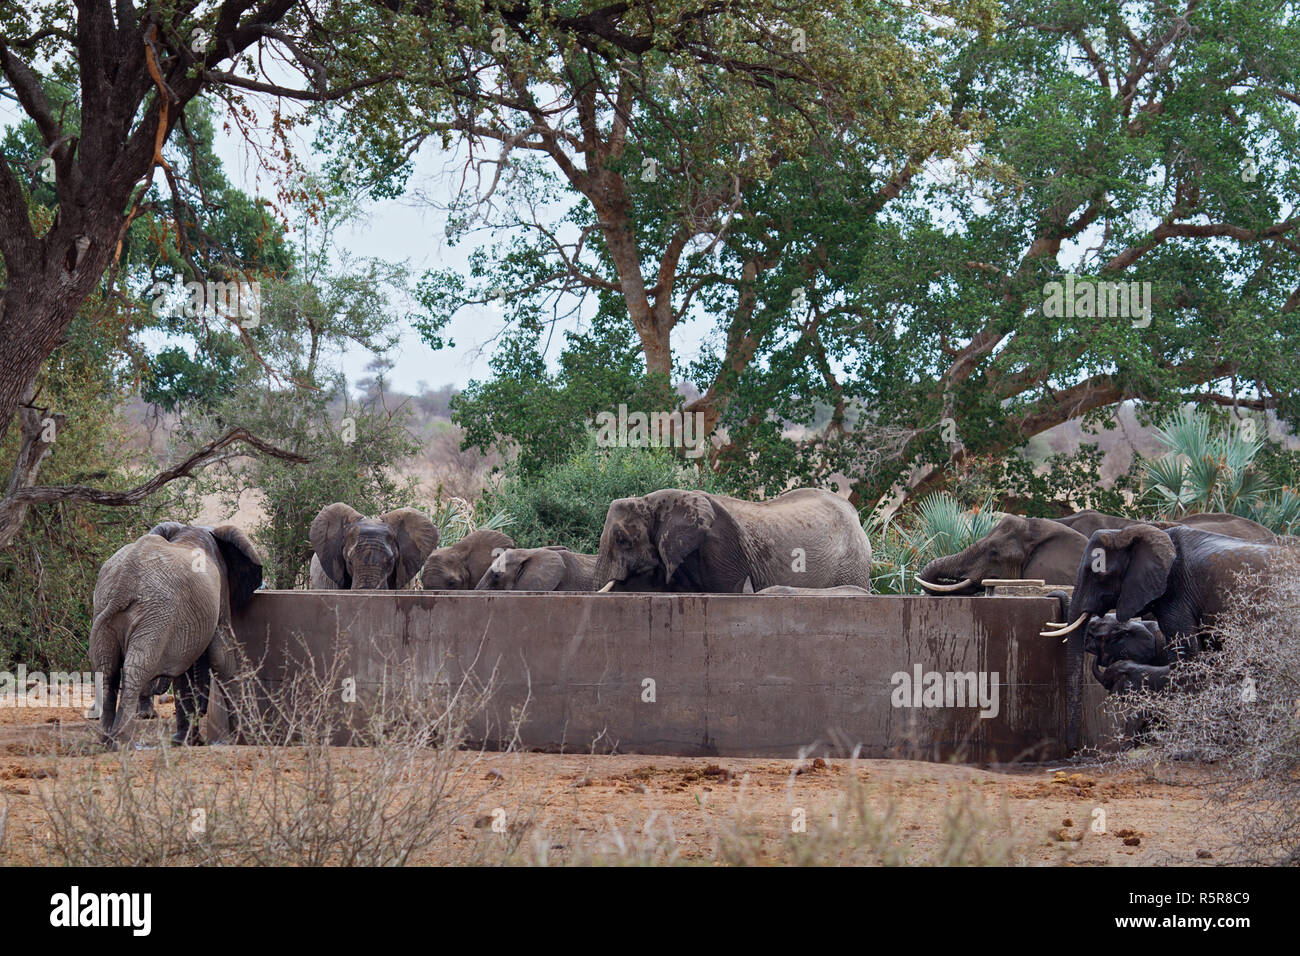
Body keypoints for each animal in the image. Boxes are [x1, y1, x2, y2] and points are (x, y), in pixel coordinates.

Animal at [89, 522, 261, 749]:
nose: (202, 712)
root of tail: (124, 581)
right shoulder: (220, 594)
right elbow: (221, 657)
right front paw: (247, 738)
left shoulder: (184, 620)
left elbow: (184, 669)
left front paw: (185, 742)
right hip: (156, 615)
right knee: (137, 668)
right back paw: (121, 742)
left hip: (106, 608)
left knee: (107, 671)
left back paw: (106, 741)